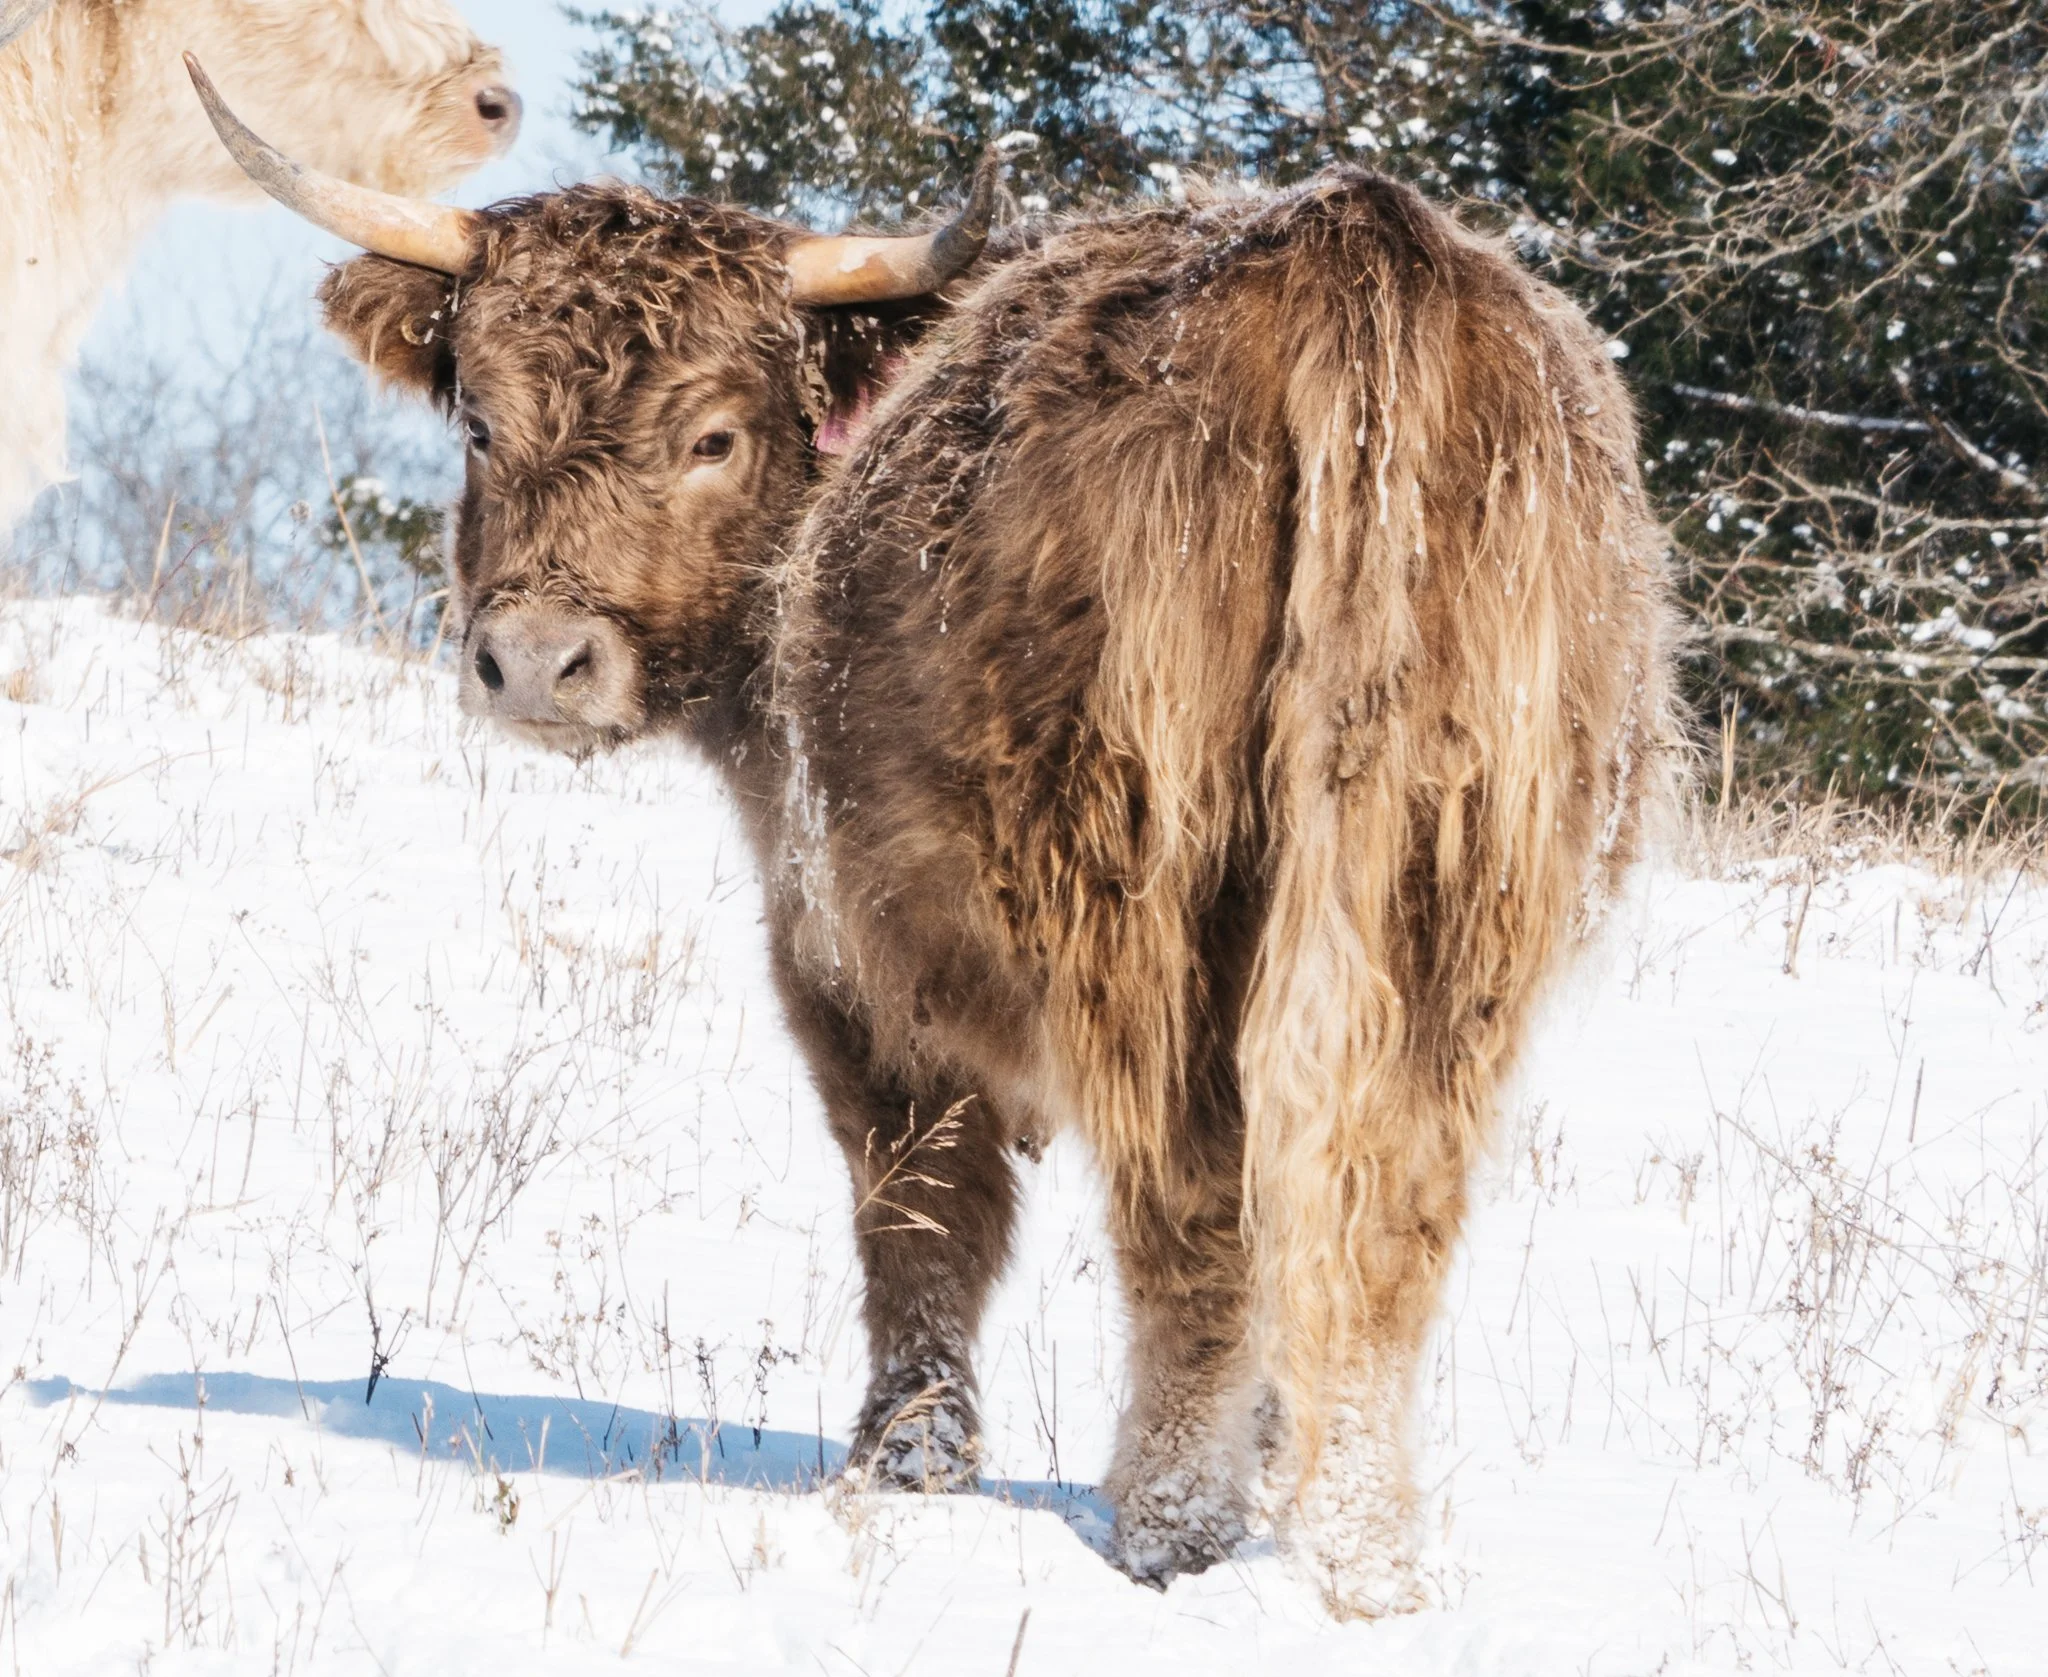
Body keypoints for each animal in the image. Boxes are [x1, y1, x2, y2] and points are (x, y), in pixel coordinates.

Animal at [191, 62, 1676, 1617]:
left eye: (712, 435)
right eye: (481, 421)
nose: (533, 661)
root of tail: (1357, 246)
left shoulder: (845, 955)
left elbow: (917, 1206)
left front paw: (905, 1458)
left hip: (1143, 889)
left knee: (1190, 1202)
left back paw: (1168, 1524)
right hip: (1462, 882)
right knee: (1383, 1208)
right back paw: (1366, 1555)